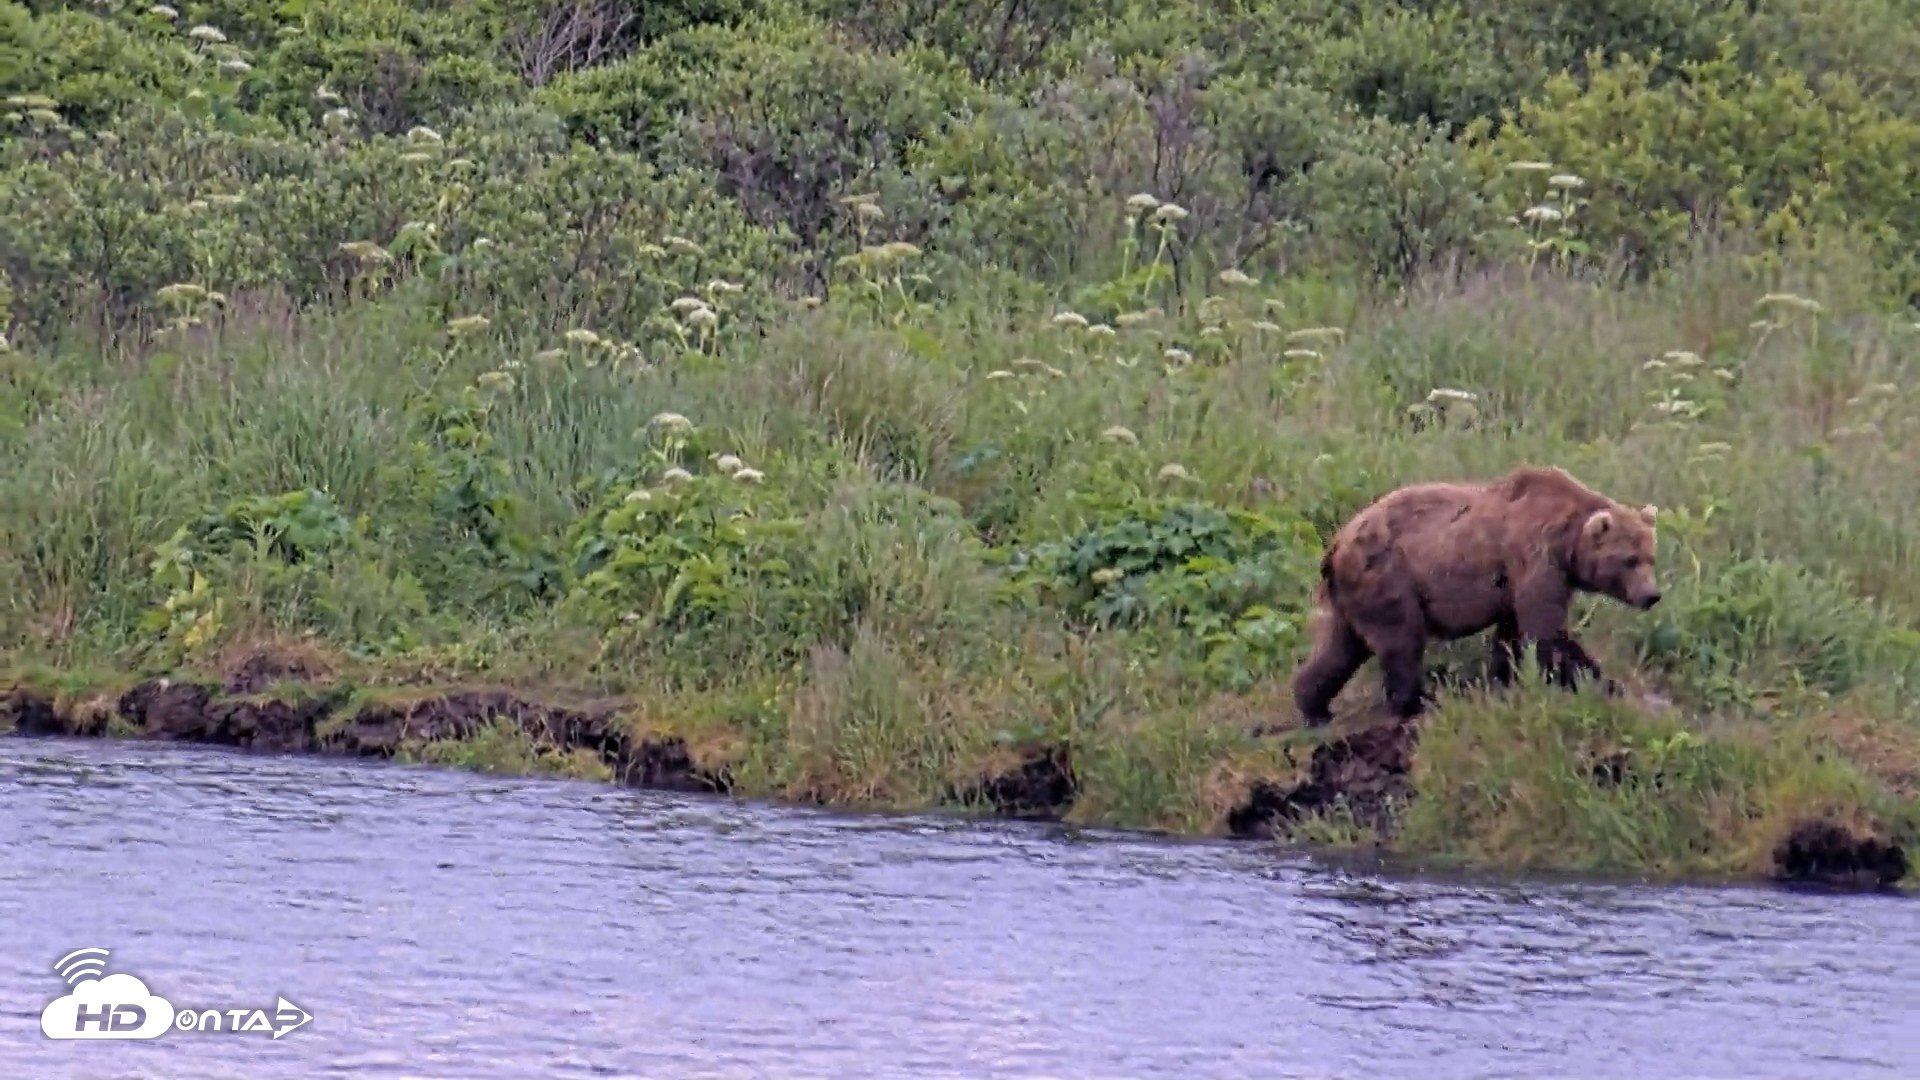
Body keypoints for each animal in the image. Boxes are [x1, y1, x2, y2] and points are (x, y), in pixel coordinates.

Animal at [1290, 465, 1662, 727]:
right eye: (1630, 559)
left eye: (1650, 556)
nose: (1652, 595)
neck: (1567, 540)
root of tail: (1336, 543)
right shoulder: (1534, 557)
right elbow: (1546, 630)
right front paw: (1603, 681)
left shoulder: (1516, 582)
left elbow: (1512, 634)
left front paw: (1504, 677)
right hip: (1387, 575)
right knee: (1401, 640)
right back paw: (1416, 701)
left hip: (1352, 595)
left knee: (1340, 647)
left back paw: (1314, 707)